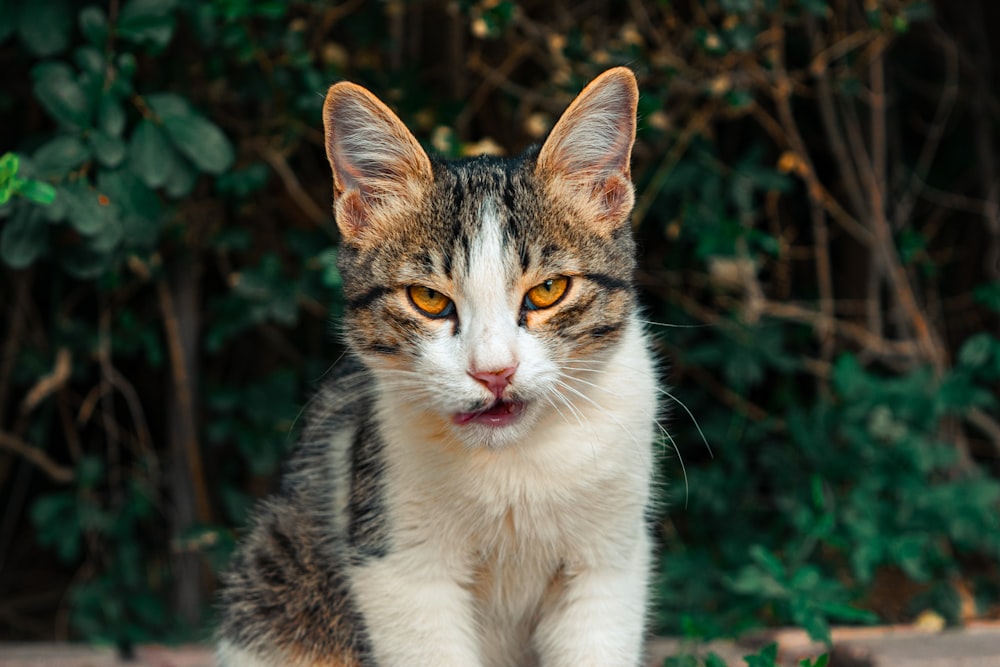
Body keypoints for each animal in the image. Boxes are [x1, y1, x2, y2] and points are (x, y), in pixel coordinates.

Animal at [215, 68, 660, 667]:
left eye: (549, 289)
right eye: (428, 299)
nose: (494, 371)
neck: (514, 462)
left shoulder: (610, 559)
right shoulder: (397, 561)